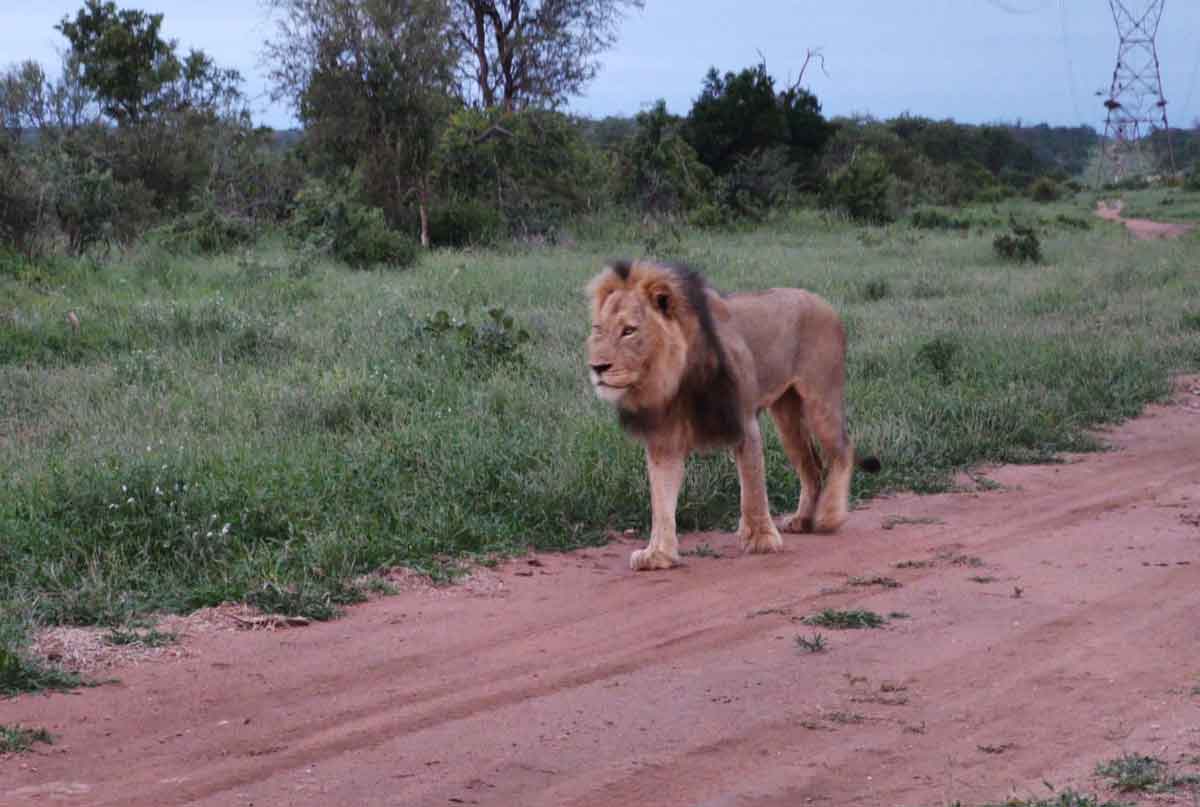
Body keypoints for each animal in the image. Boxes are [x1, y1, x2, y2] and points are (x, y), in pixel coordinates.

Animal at [586, 259, 879, 571]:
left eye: (629, 330)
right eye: (598, 329)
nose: (597, 367)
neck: (674, 376)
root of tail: (823, 302)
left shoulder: (744, 422)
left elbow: (752, 486)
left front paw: (761, 538)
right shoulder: (663, 441)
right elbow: (661, 500)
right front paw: (658, 553)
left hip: (820, 400)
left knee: (842, 450)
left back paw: (830, 516)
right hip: (787, 416)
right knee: (811, 466)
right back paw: (802, 520)